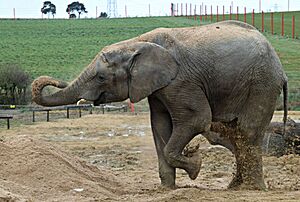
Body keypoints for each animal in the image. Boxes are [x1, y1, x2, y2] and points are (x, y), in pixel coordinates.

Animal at [31, 20, 288, 191]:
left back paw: (251, 189)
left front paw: (195, 165)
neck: (136, 43)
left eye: (101, 77)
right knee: (233, 132)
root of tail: (280, 68)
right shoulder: (156, 87)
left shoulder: (180, 80)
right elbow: (159, 125)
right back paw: (236, 186)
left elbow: (197, 120)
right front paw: (167, 189)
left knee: (246, 131)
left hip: (262, 84)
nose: (55, 81)